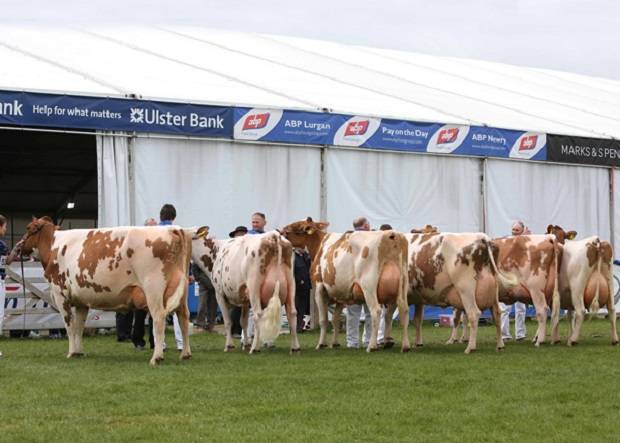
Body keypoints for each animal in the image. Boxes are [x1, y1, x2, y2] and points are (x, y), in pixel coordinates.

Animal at [6, 217, 191, 366]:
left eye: (28, 228)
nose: (15, 249)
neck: (54, 246)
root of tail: (173, 229)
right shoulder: (81, 300)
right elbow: (79, 326)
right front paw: (79, 352)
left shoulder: (60, 294)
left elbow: (69, 325)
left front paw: (71, 352)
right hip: (181, 292)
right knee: (183, 317)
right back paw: (185, 354)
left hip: (153, 288)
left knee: (159, 318)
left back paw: (156, 357)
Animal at [282, 219, 412, 354]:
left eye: (294, 226)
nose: (280, 231)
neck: (319, 246)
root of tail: (392, 234)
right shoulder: (340, 292)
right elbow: (335, 319)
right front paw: (334, 343)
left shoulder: (319, 287)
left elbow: (324, 320)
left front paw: (321, 344)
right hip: (402, 285)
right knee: (404, 310)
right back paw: (405, 346)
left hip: (368, 286)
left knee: (376, 311)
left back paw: (372, 346)